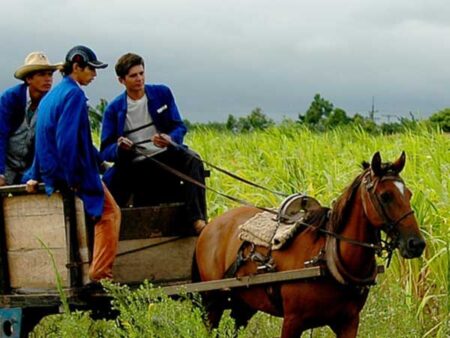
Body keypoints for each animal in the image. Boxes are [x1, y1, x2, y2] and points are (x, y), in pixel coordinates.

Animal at [193, 152, 426, 338]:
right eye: (386, 196)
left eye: (409, 194)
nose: (416, 244)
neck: (327, 256)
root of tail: (209, 227)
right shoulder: (292, 322)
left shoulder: (349, 323)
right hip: (212, 303)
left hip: (242, 304)